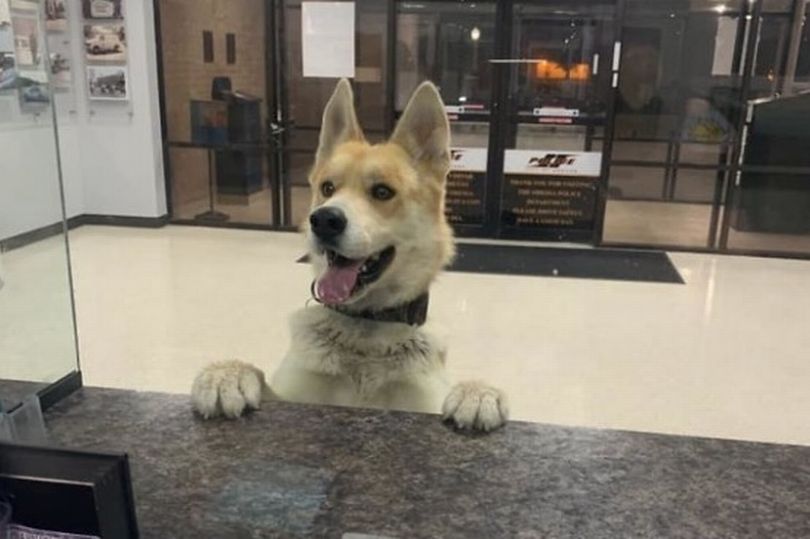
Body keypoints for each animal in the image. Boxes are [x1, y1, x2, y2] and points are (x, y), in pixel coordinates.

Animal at [191, 80, 504, 432]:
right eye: (328, 188)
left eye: (382, 192)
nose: (324, 220)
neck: (366, 326)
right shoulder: (293, 395)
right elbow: (258, 375)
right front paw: (226, 373)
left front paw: (477, 392)